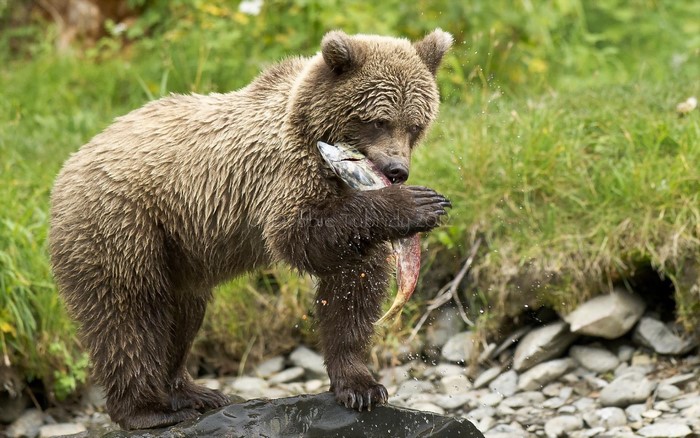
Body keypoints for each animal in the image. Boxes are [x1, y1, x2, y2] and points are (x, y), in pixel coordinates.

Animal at [49, 29, 453, 429]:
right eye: (378, 120)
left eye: (415, 124)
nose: (397, 170)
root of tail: (68, 164)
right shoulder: (283, 172)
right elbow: (298, 235)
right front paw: (420, 204)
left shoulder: (345, 212)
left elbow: (352, 287)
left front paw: (361, 386)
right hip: (121, 224)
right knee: (129, 310)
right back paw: (150, 409)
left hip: (175, 250)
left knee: (183, 312)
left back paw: (193, 392)